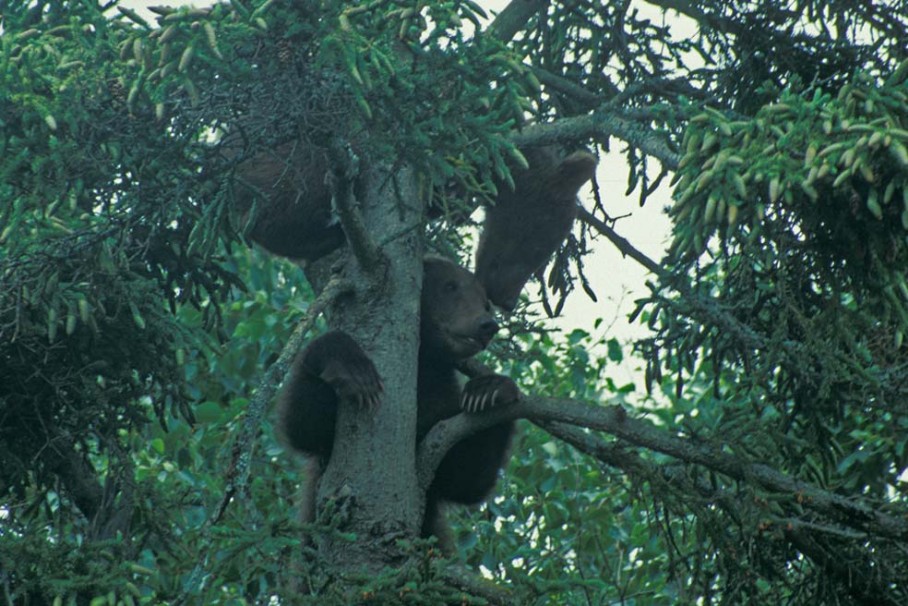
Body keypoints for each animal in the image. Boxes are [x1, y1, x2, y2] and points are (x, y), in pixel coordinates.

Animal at [276, 254, 516, 552]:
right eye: (450, 286)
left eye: (485, 301)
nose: (487, 325)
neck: (423, 359)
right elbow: (307, 427)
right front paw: (353, 369)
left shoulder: (439, 397)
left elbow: (464, 477)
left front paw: (490, 390)